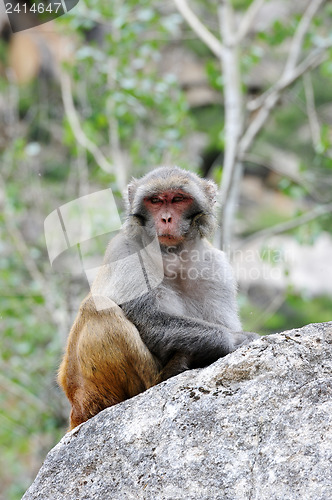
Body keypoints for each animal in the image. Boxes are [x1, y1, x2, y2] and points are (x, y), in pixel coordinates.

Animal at [58, 168, 258, 430]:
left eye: (178, 199)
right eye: (155, 201)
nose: (165, 218)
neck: (172, 258)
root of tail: (75, 405)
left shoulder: (216, 266)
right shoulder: (126, 250)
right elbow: (148, 318)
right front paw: (234, 340)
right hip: (94, 390)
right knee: (99, 309)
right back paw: (166, 374)